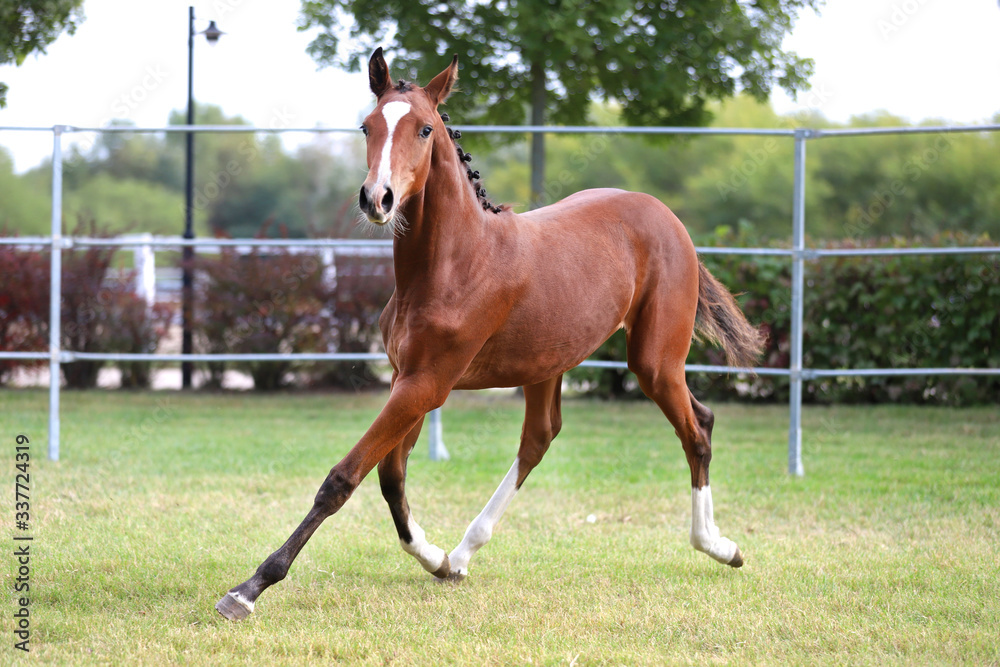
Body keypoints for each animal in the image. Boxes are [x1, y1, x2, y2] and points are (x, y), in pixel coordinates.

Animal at [215, 48, 765, 621]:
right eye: (367, 126)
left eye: (425, 129)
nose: (377, 199)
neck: (454, 265)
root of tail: (667, 218)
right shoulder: (407, 380)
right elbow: (391, 477)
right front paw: (435, 558)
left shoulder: (425, 384)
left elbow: (344, 479)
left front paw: (250, 587)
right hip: (550, 364)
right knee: (544, 437)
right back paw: (463, 554)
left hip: (654, 361)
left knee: (695, 430)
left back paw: (717, 545)